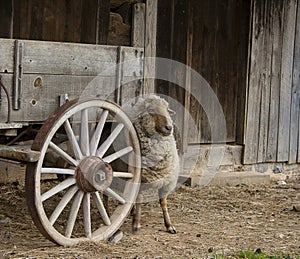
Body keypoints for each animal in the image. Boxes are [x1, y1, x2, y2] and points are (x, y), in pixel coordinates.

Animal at [125, 94, 180, 235]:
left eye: (167, 110)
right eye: (151, 110)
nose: (169, 127)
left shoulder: (167, 181)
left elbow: (163, 203)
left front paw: (169, 225)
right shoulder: (140, 180)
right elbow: (139, 200)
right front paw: (136, 225)